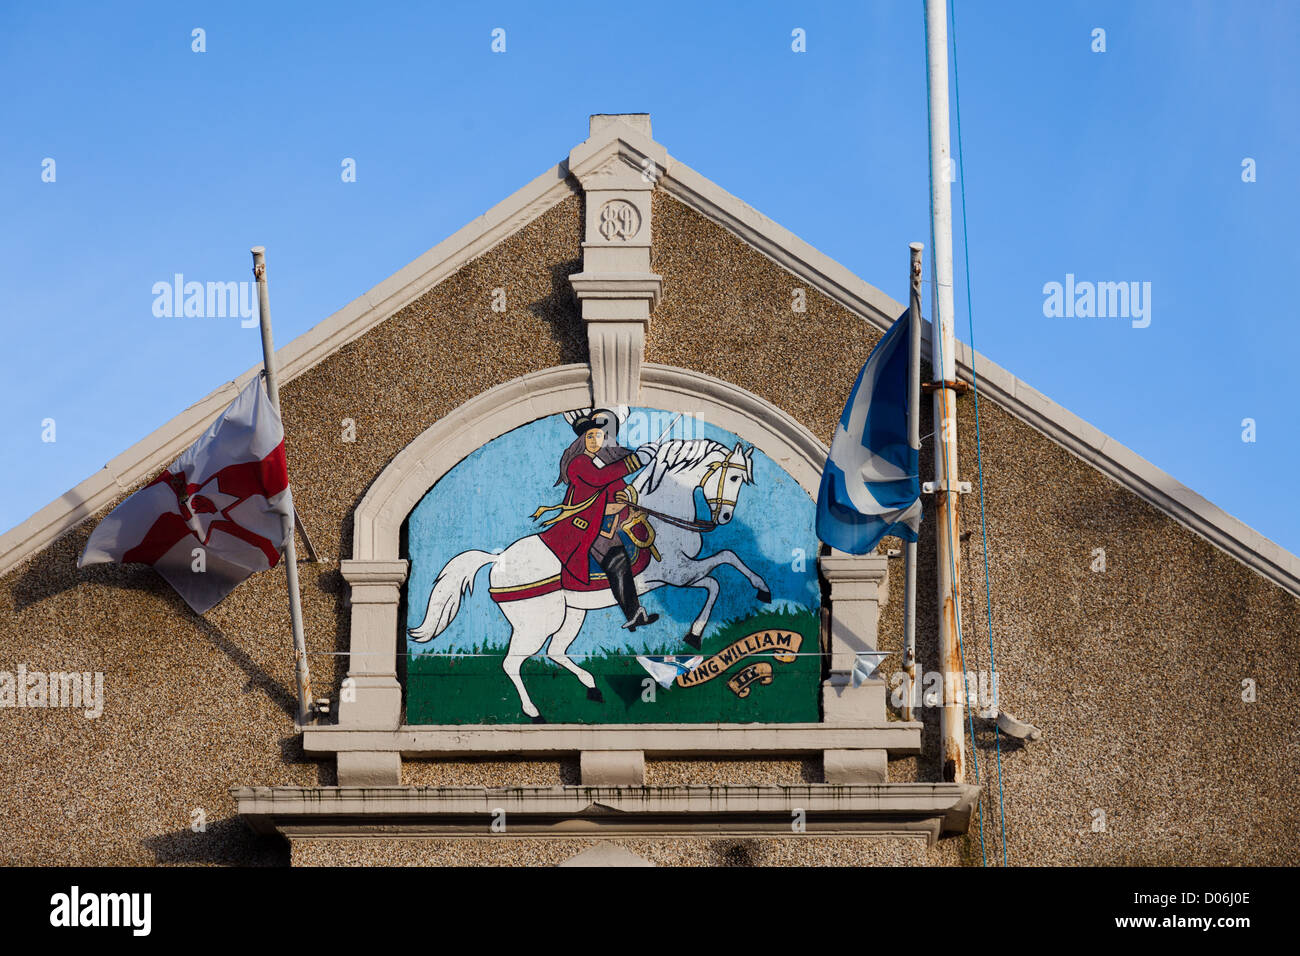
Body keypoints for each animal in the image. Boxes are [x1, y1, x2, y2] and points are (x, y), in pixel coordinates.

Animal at [408, 437, 769, 723]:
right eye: (733, 475)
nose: (725, 517)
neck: (662, 512)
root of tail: (498, 560)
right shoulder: (675, 573)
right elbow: (719, 575)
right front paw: (697, 632)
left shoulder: (676, 574)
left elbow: (727, 560)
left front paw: (759, 589)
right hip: (537, 621)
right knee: (513, 663)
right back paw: (533, 712)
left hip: (572, 614)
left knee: (556, 651)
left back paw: (593, 688)